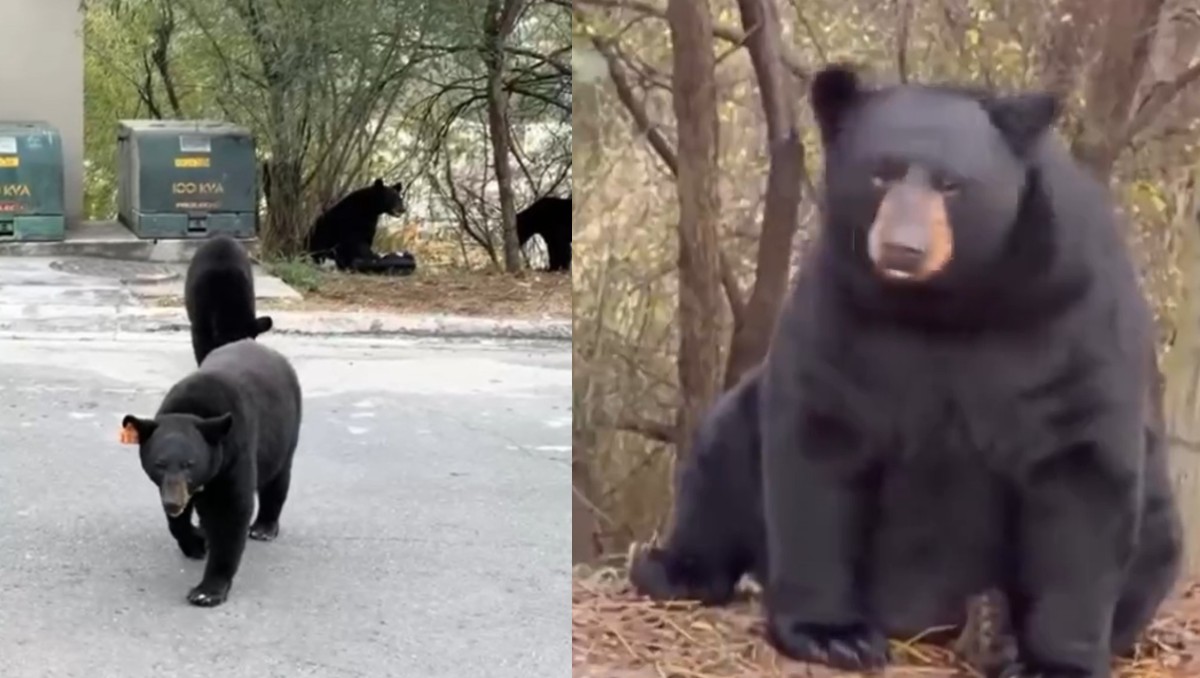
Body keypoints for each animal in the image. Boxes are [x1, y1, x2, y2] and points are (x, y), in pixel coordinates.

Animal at [121, 338, 303, 607]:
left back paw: (264, 528)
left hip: (286, 431)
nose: (173, 503)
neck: (195, 410)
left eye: (190, 463)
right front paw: (196, 542)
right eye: (159, 464)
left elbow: (232, 511)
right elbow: (179, 521)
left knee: (277, 480)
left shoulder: (236, 452)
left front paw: (207, 591)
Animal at [754, 64, 1181, 677]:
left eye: (951, 185)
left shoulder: (1072, 308)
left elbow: (1082, 465)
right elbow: (821, 438)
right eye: (881, 174)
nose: (903, 250)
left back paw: (992, 633)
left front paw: (1053, 660)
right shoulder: (843, 308)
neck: (950, 303)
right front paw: (834, 635)